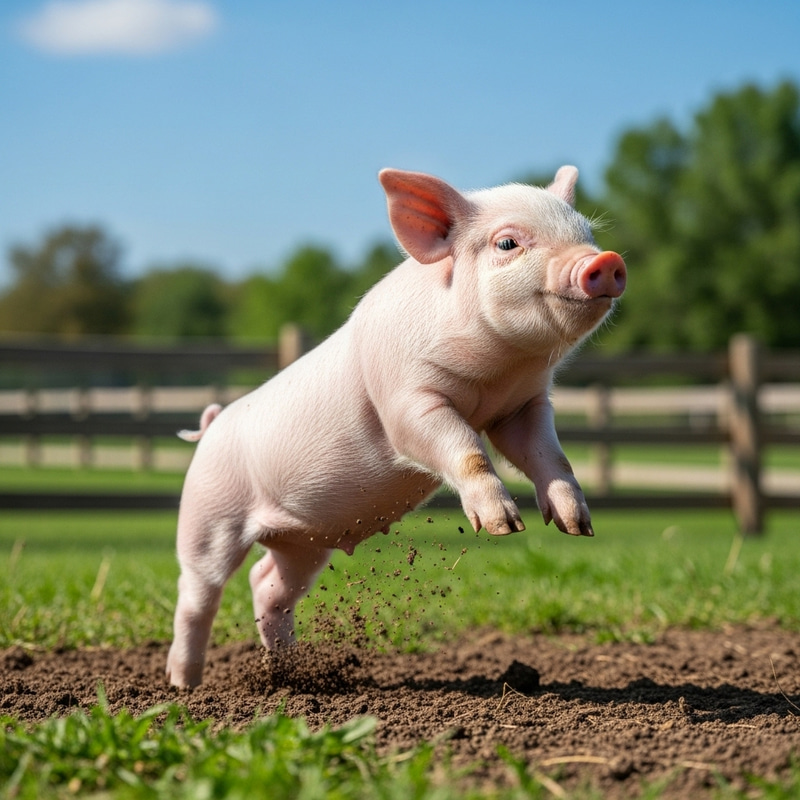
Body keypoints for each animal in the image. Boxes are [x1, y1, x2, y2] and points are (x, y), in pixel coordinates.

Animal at [166, 166, 626, 687]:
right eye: (507, 242)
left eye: (587, 234)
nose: (606, 260)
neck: (493, 377)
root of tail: (211, 428)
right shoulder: (407, 401)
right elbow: (463, 446)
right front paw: (505, 528)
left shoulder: (523, 408)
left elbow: (552, 457)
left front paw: (578, 527)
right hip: (208, 516)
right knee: (197, 594)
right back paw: (184, 685)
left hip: (302, 542)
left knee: (266, 585)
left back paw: (286, 672)